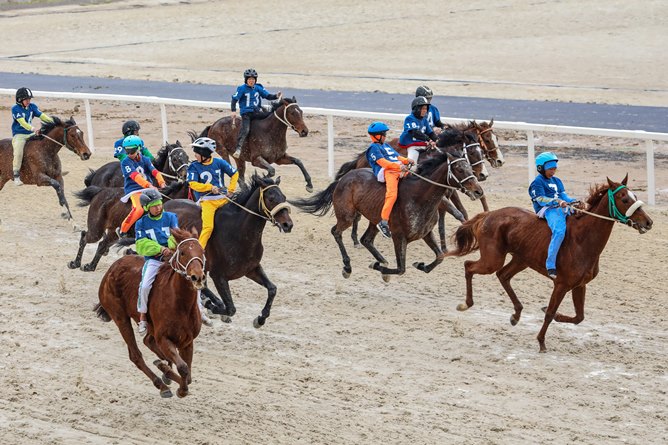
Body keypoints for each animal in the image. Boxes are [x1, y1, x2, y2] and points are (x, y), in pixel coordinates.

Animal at [92, 227, 205, 398]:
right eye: (183, 253)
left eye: (202, 251)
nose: (197, 277)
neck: (181, 304)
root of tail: (113, 267)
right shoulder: (164, 338)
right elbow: (183, 368)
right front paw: (176, 384)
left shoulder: (187, 341)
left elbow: (188, 373)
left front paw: (167, 371)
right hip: (120, 317)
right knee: (136, 355)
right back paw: (162, 385)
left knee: (148, 342)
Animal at [162, 173, 292, 326]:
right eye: (271, 198)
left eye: (284, 197)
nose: (288, 224)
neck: (239, 233)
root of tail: (165, 204)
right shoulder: (219, 276)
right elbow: (230, 308)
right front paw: (212, 306)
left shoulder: (251, 269)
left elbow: (272, 289)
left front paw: (260, 319)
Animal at [292, 151, 480, 280]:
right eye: (459, 168)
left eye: (469, 167)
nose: (478, 190)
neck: (419, 197)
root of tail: (343, 179)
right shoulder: (398, 236)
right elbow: (401, 269)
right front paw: (379, 268)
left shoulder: (425, 232)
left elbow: (440, 257)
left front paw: (420, 265)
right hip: (347, 216)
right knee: (336, 232)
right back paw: (348, 267)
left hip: (373, 220)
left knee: (366, 239)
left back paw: (380, 260)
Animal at [444, 175, 652, 352]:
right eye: (624, 199)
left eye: (635, 196)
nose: (648, 222)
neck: (582, 240)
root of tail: (488, 214)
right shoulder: (561, 284)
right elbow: (551, 312)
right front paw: (541, 342)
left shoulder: (579, 285)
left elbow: (579, 317)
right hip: (492, 259)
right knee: (469, 266)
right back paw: (466, 304)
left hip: (521, 259)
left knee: (503, 275)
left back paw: (516, 314)